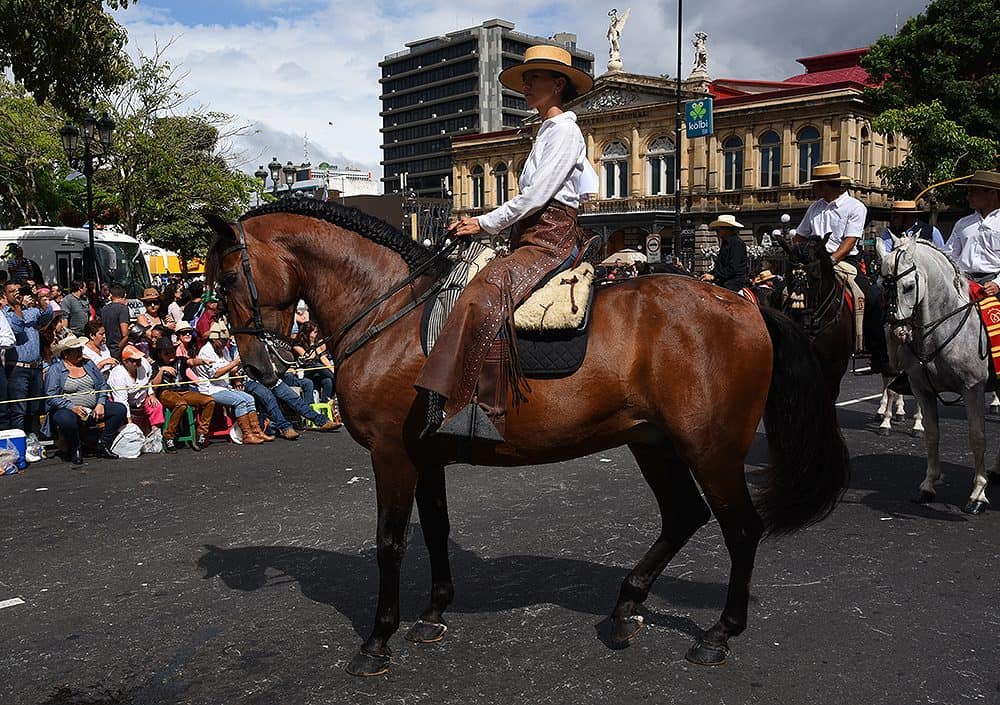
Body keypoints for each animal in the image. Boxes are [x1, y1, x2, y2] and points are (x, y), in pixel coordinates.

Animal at [207, 198, 848, 676]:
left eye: (230, 276)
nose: (258, 369)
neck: (393, 316)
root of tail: (746, 306)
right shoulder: (425, 457)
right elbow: (435, 529)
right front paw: (434, 614)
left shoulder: (392, 456)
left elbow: (391, 542)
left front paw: (377, 639)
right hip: (654, 443)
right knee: (683, 516)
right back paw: (627, 604)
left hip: (711, 450)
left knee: (740, 529)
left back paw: (719, 632)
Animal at [880, 234, 996, 516]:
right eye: (882, 284)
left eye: (909, 286)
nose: (897, 333)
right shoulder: (922, 389)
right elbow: (932, 435)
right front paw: (928, 484)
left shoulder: (973, 389)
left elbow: (977, 438)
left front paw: (978, 494)